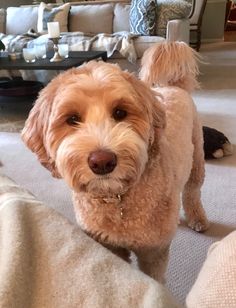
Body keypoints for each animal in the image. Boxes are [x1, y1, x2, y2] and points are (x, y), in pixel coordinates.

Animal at [21, 41, 208, 284]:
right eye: (72, 119)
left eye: (120, 112)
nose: (102, 162)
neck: (116, 199)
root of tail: (173, 87)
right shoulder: (108, 246)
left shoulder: (153, 251)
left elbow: (154, 277)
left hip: (197, 158)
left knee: (192, 192)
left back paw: (198, 218)